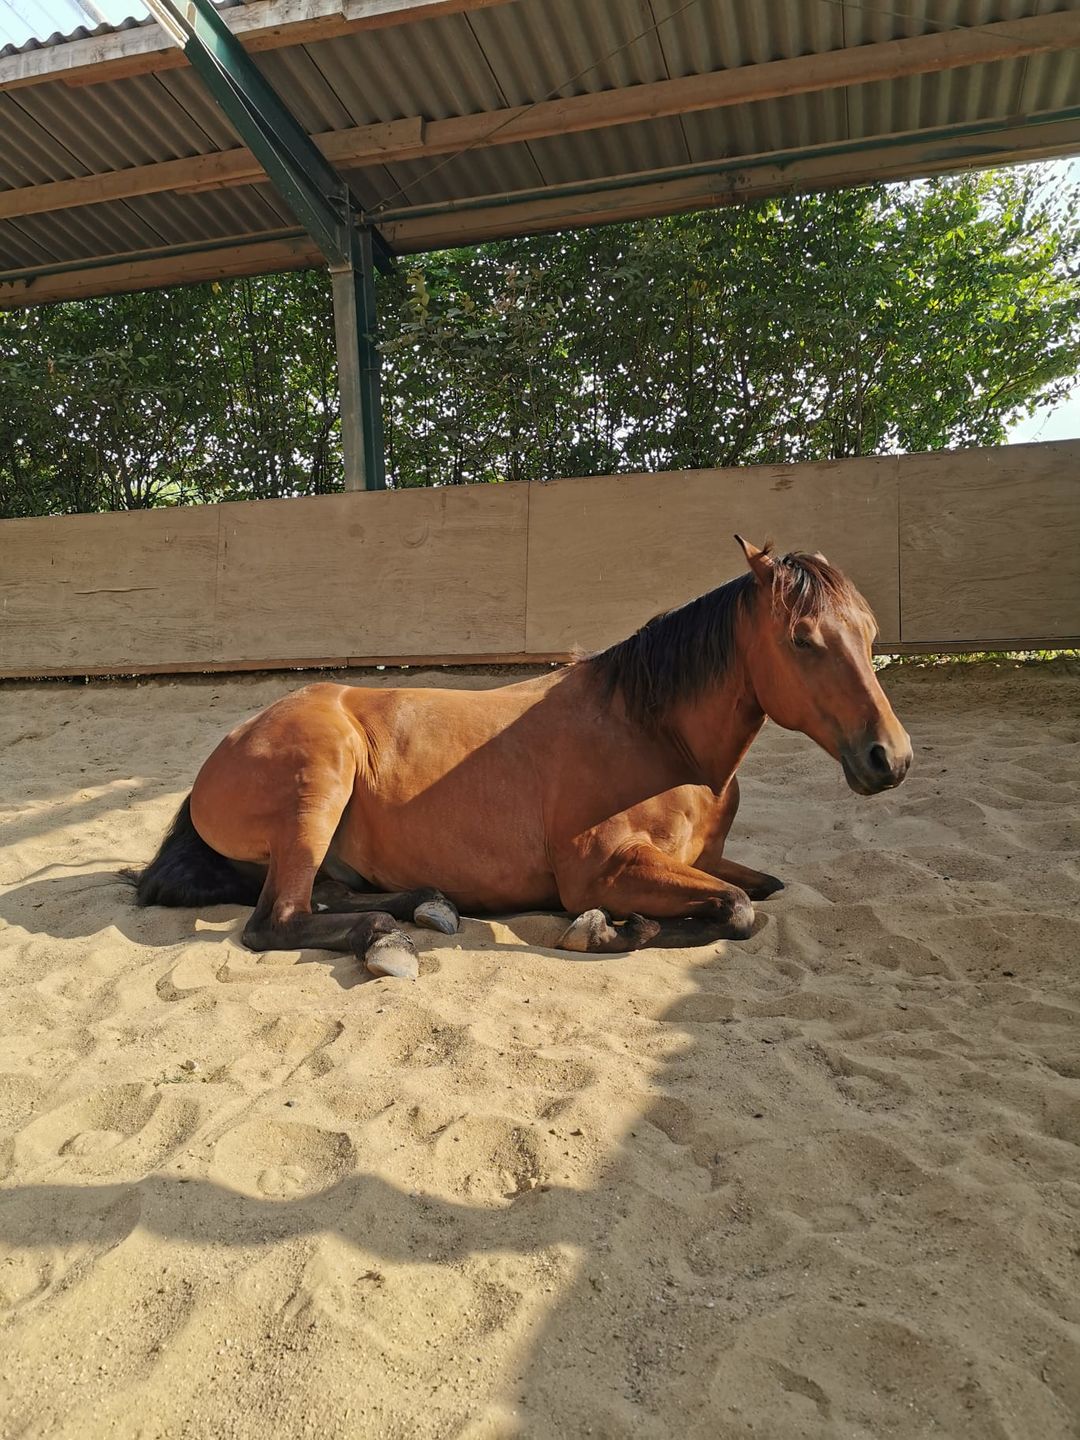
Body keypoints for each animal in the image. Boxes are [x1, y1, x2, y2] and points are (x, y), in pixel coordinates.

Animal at [131, 537, 911, 980]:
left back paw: (427, 906)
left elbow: (764, 888)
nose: (891, 759)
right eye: (804, 639)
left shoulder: (705, 859)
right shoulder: (605, 869)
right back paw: (387, 942)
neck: (655, 735)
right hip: (318, 787)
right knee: (279, 920)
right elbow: (737, 908)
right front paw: (601, 930)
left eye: (871, 631)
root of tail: (228, 747)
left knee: (328, 894)